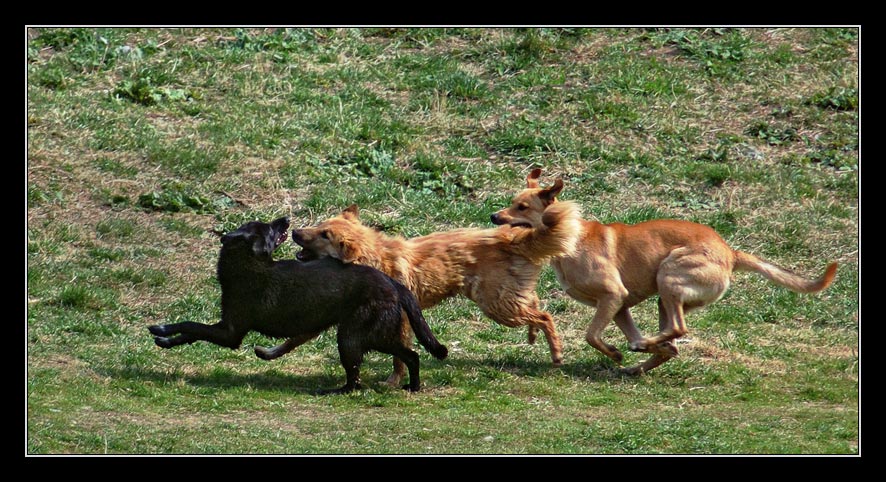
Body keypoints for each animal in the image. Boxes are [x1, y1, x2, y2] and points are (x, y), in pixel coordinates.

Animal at [149, 217, 450, 394]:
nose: (286, 220)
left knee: (360, 377)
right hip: (371, 335)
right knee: (411, 355)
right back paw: (413, 387)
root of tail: (391, 283)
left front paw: (161, 329)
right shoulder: (226, 328)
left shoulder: (230, 333)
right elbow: (190, 333)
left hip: (354, 337)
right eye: (269, 227)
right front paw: (165, 340)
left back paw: (335, 391)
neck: (248, 266)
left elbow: (191, 325)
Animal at [260, 196, 588, 384]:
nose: (294, 231)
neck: (372, 258)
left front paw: (394, 381)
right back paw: (534, 336)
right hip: (505, 299)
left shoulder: (402, 321)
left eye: (324, 234)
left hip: (497, 306)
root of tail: (506, 237)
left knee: (545, 316)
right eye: (319, 226)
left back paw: (556, 352)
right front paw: (268, 352)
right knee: (535, 304)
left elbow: (400, 356)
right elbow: (292, 340)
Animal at [496, 168, 844, 374]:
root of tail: (730, 253)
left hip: (670, 276)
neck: (569, 236)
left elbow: (592, 335)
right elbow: (609, 334)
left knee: (678, 329)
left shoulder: (613, 295)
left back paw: (646, 346)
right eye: (512, 202)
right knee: (672, 342)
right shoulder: (619, 306)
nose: (493, 217)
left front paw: (615, 351)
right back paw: (641, 359)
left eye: (522, 208)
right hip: (665, 297)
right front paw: (622, 353)